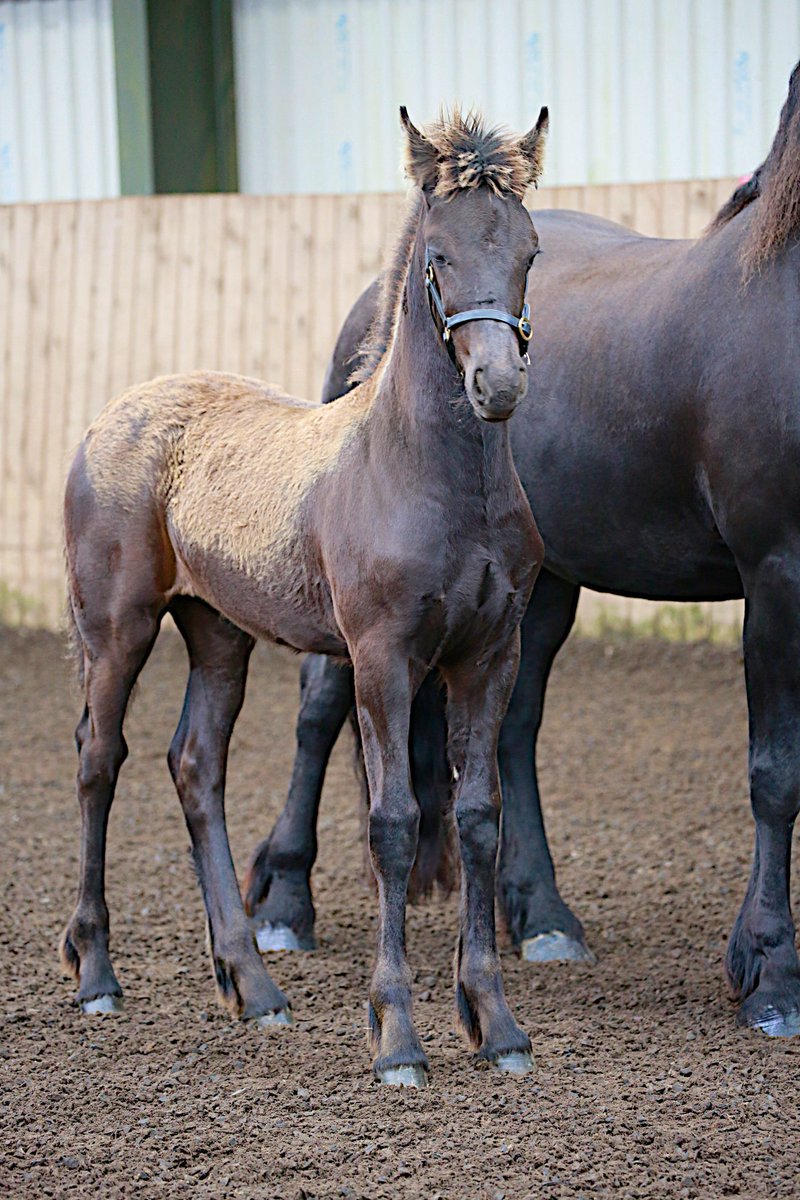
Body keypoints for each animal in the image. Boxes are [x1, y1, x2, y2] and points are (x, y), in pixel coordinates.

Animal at [60, 106, 550, 1086]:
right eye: (438, 255)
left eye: (529, 250)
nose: (498, 385)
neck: (430, 477)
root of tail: (113, 415)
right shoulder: (381, 657)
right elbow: (393, 823)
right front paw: (397, 1037)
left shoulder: (490, 656)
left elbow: (478, 818)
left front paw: (497, 1024)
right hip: (116, 626)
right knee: (101, 759)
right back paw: (96, 974)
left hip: (218, 632)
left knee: (194, 766)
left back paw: (254, 986)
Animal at [246, 62, 800, 1040]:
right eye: (442, 261)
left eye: (531, 260)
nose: (500, 383)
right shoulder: (775, 575)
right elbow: (776, 775)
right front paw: (771, 974)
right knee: (321, 709)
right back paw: (283, 906)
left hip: (540, 593)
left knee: (511, 734)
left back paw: (538, 916)